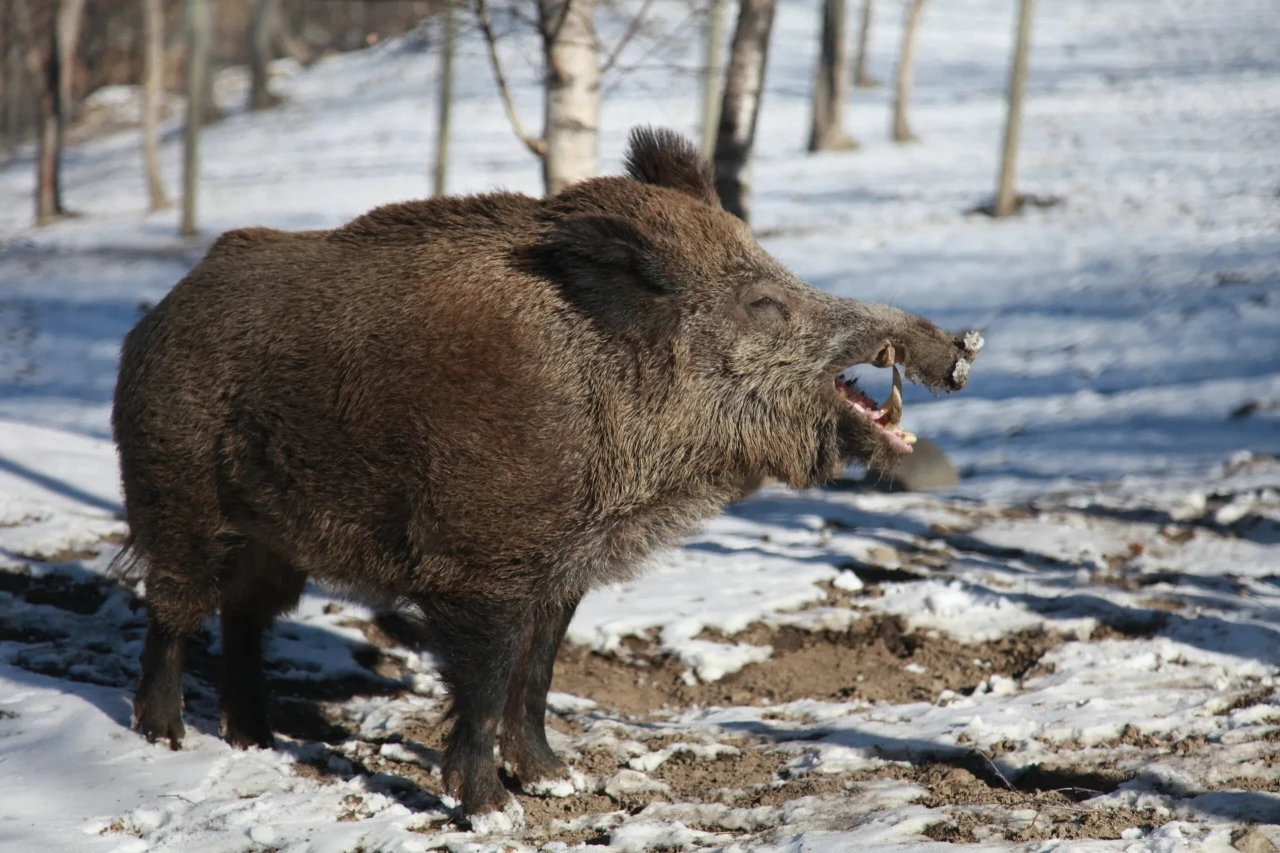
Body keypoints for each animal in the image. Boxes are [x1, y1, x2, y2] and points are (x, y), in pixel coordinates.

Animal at [112, 126, 981, 830]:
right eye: (765, 301)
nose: (962, 341)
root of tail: (156, 314)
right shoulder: (483, 564)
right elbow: (488, 681)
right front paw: (493, 811)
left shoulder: (562, 572)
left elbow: (538, 671)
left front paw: (556, 782)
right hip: (177, 498)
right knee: (175, 611)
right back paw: (163, 736)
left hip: (274, 540)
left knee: (246, 618)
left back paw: (255, 738)